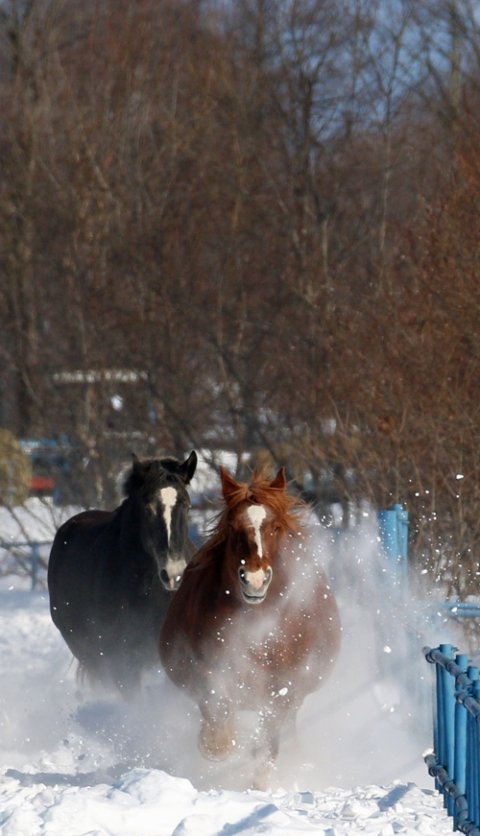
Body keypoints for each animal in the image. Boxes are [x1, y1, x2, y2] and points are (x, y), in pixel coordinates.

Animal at [159, 466, 340, 788]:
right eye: (232, 527)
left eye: (276, 527)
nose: (255, 580)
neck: (256, 621)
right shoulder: (206, 668)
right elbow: (217, 706)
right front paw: (216, 745)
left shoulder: (284, 685)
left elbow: (269, 740)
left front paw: (260, 780)